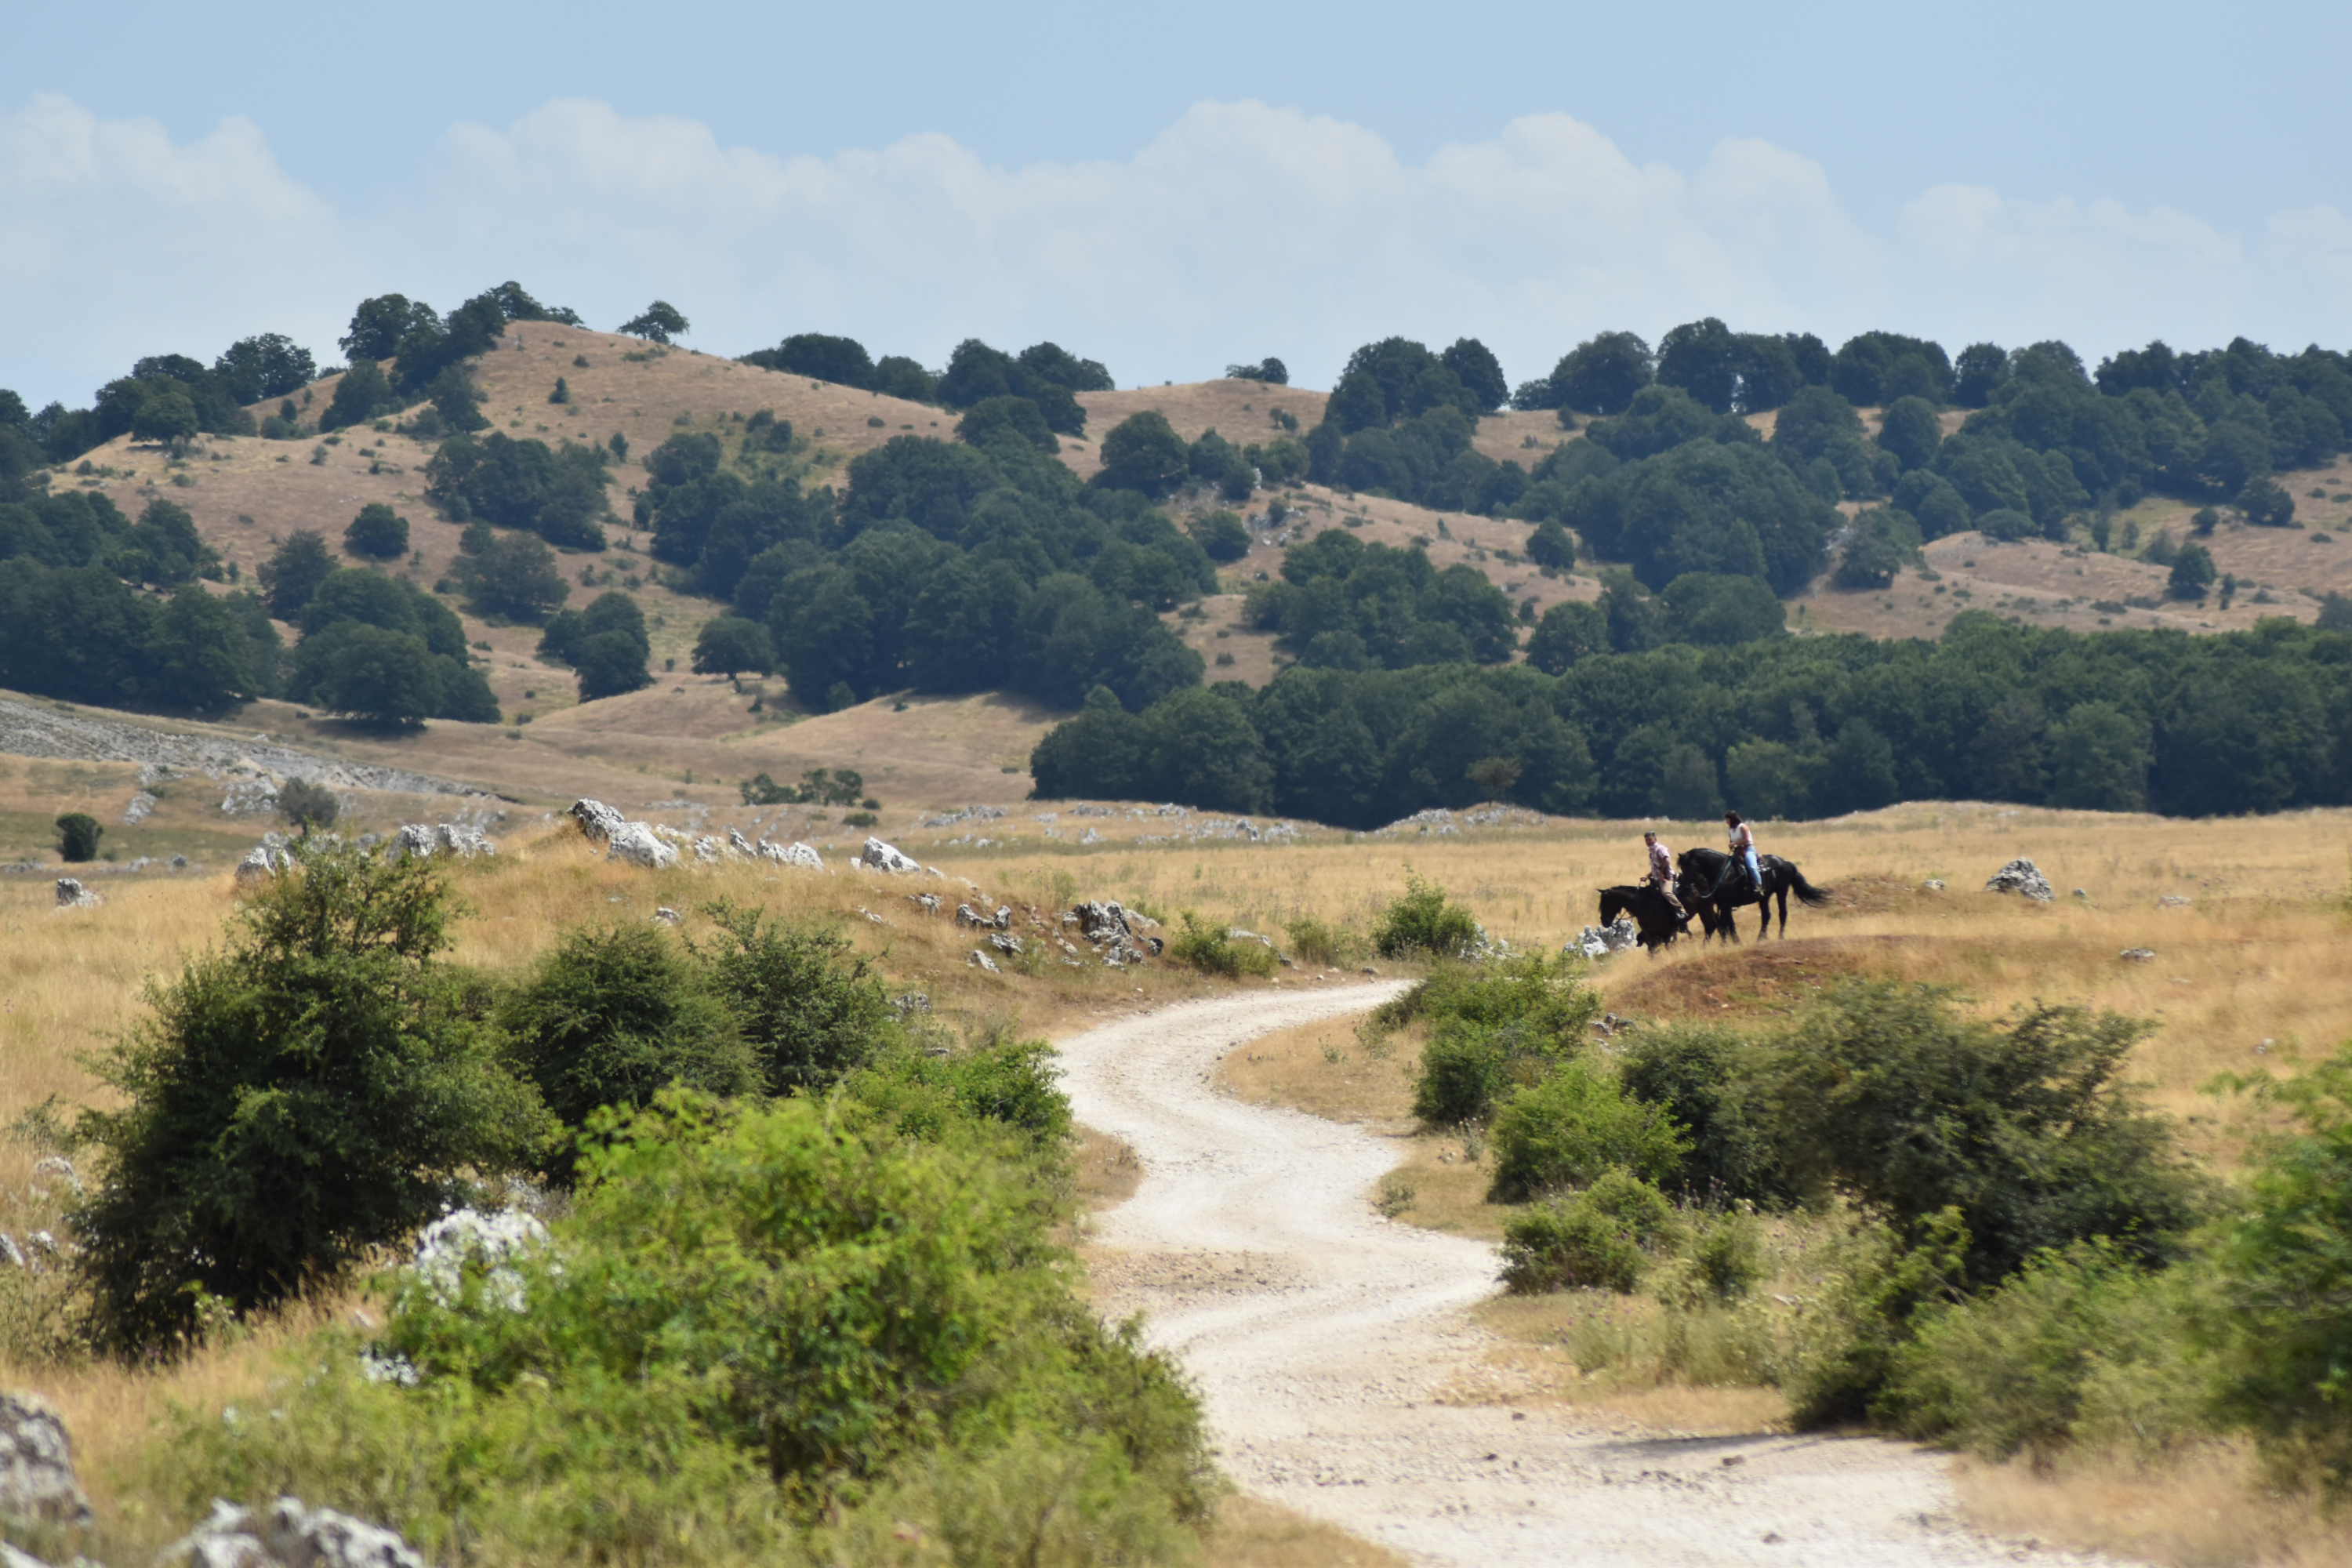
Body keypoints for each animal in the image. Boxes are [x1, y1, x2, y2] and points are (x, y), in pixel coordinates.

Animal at [1675, 846, 1832, 942]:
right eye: (1682, 868)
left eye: (1690, 867)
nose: (1685, 888)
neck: (1723, 872)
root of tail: (1785, 863)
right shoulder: (1721, 905)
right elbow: (1725, 925)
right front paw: (1728, 943)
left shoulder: (1726, 904)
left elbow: (1728, 924)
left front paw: (1734, 943)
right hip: (1764, 897)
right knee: (1766, 916)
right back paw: (1761, 938)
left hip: (1781, 892)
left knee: (1782, 913)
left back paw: (1780, 936)